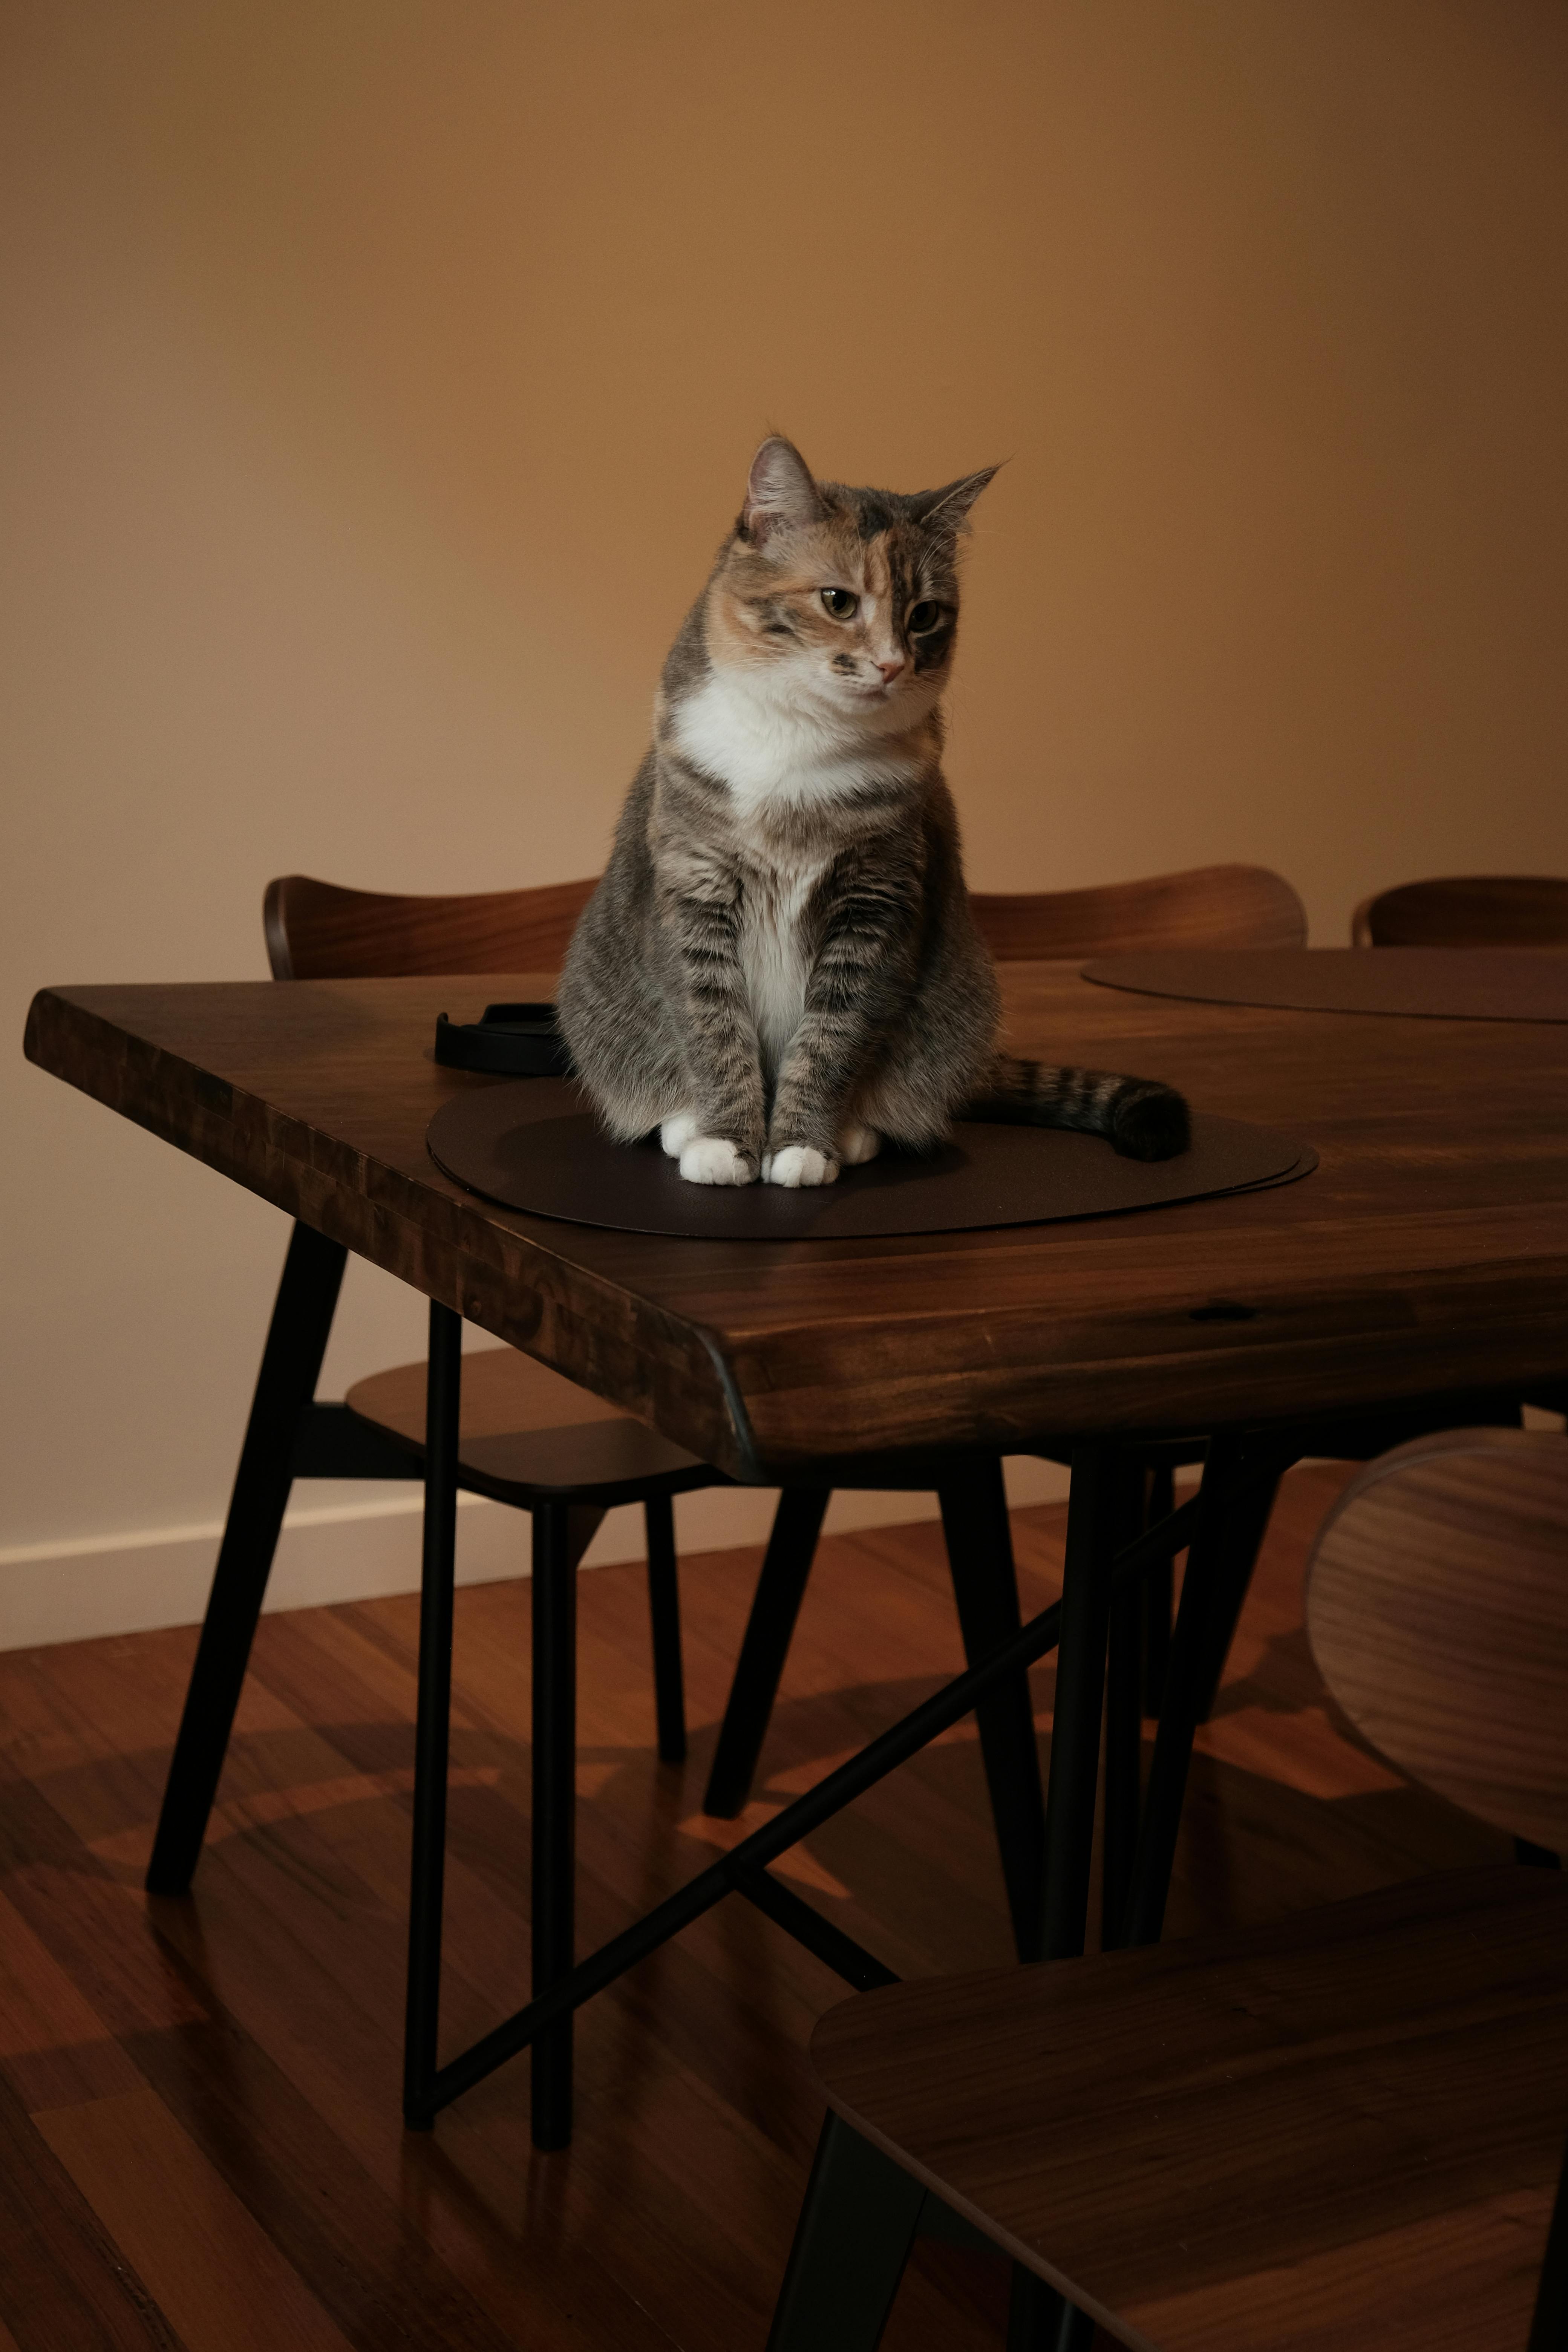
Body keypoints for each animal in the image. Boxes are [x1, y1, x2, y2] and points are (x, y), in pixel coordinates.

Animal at [557, 437, 1185, 1194]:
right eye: (838, 600)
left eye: (926, 615)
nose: (891, 665)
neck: (802, 740)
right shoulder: (694, 888)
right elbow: (713, 1027)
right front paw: (727, 1144)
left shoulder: (876, 903)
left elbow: (834, 1036)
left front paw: (802, 1146)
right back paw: (684, 1126)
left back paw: (855, 1133)